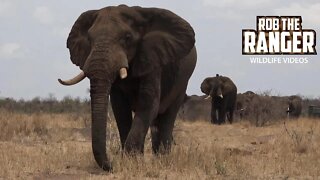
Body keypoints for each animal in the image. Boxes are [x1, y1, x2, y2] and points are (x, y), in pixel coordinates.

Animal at [58, 4, 196, 171]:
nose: (111, 165)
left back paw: (164, 160)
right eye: (89, 39)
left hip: (182, 84)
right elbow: (120, 108)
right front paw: (131, 161)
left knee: (168, 117)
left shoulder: (152, 60)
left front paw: (132, 161)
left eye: (127, 37)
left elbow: (148, 105)